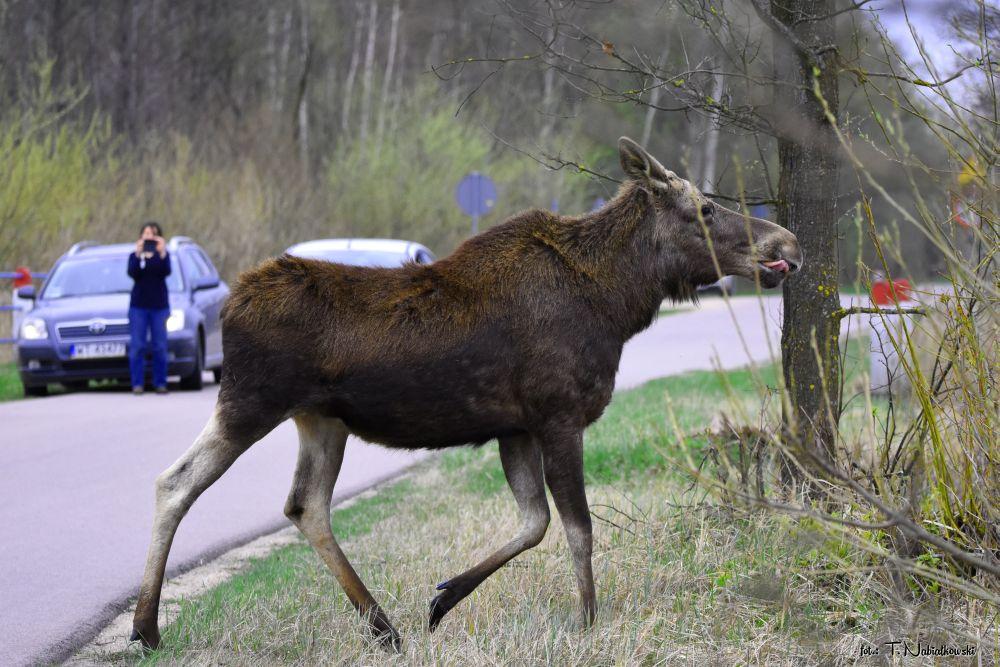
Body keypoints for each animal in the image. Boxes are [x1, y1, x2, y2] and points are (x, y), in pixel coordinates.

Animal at [135, 137, 804, 652]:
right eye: (706, 207)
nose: (788, 244)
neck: (617, 303)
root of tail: (231, 302)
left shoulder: (515, 426)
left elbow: (534, 522)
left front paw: (444, 597)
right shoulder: (559, 414)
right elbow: (578, 527)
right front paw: (589, 622)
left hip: (320, 420)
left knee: (305, 506)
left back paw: (384, 628)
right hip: (252, 400)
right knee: (175, 480)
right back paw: (146, 629)